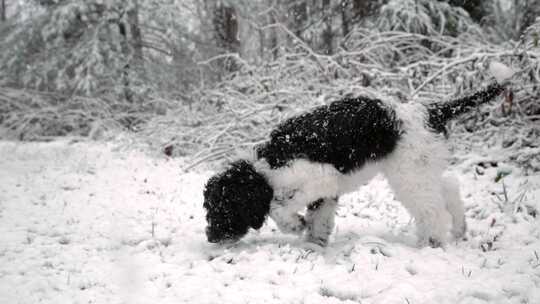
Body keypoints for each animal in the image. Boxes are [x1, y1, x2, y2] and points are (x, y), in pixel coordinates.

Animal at [202, 82, 506, 247]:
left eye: (224, 208)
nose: (212, 238)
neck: (267, 166)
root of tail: (428, 111)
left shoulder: (319, 178)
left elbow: (278, 206)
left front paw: (295, 226)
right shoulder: (325, 192)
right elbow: (319, 217)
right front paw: (314, 243)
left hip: (409, 174)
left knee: (433, 210)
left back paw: (430, 243)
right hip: (421, 166)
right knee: (449, 186)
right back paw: (459, 230)